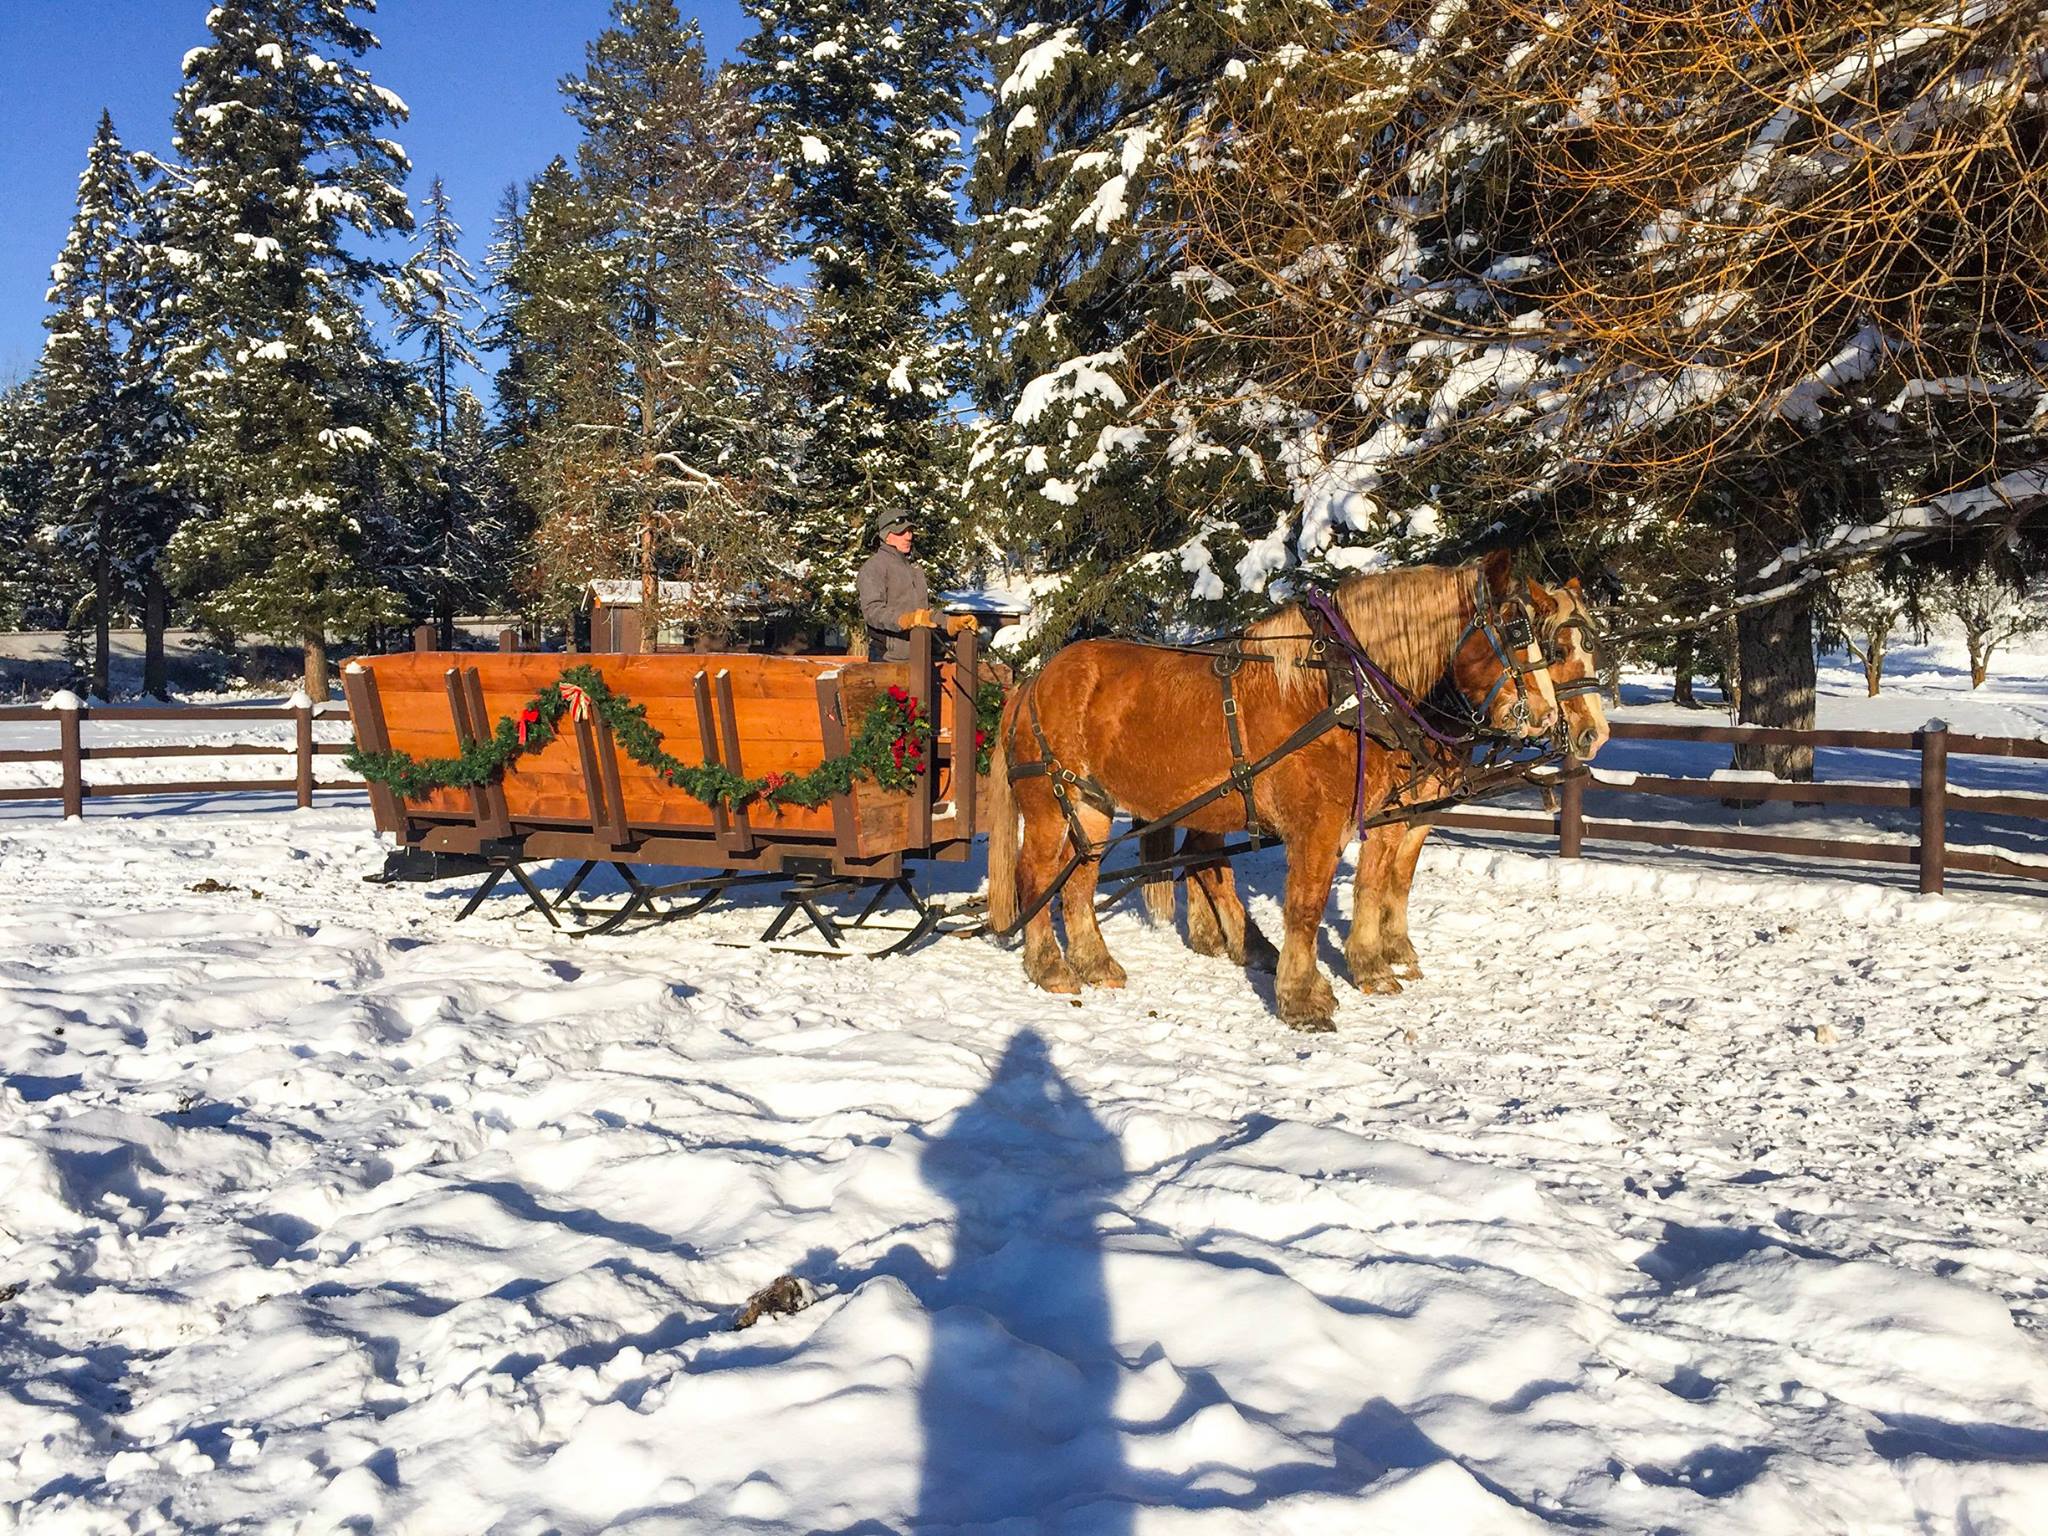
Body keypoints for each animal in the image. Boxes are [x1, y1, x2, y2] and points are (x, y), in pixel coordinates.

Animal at [983, 554, 1560, 1031]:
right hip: (1050, 805)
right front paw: (1303, 999)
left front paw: (1361, 971)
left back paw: (1096, 963)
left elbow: (1366, 888)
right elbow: (1306, 906)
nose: (1546, 716)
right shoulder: (1318, 825)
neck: (1336, 690)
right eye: (1515, 630)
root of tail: (1035, 680)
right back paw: (1050, 967)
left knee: (1080, 882)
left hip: (1092, 808)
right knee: (1036, 877)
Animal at [1347, 577, 1611, 992]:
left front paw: (1399, 952)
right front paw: (1370, 965)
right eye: (1558, 651)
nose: (1596, 734)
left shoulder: (1423, 814)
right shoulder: (1387, 817)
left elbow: (1400, 878)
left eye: (1591, 649)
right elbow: (1371, 882)